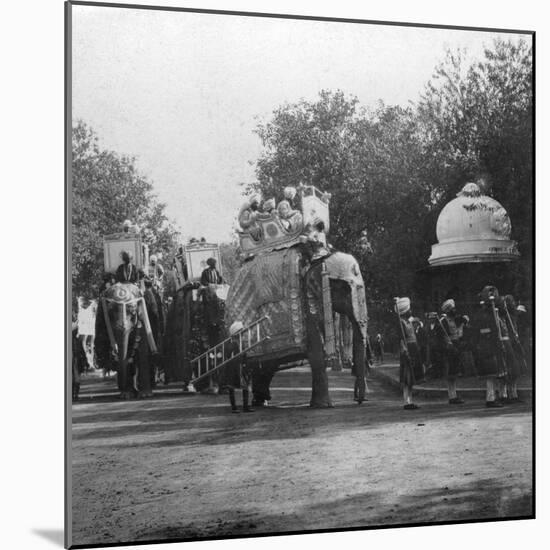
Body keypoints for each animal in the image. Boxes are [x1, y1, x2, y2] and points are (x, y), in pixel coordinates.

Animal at [224, 246, 370, 410]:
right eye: (344, 289)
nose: (358, 400)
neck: (318, 261)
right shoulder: (307, 298)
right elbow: (316, 349)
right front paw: (322, 406)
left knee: (267, 366)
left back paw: (261, 401)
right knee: (258, 365)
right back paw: (257, 402)